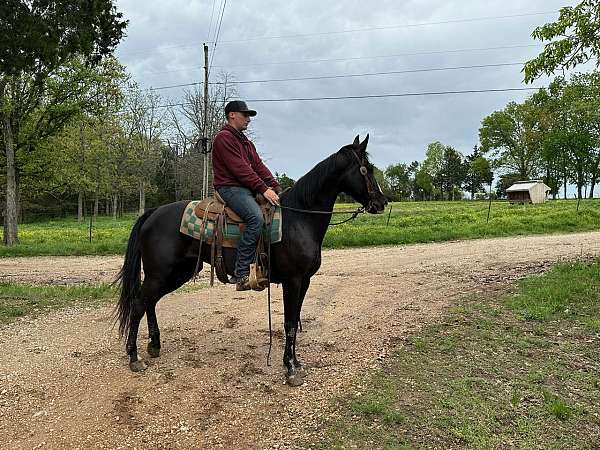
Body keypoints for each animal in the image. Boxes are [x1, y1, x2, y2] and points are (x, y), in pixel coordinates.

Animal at [116, 134, 390, 386]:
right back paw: (134, 357)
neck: (299, 219)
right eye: (367, 169)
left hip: (175, 273)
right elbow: (289, 322)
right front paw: (290, 369)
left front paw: (296, 362)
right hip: (160, 273)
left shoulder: (305, 281)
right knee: (140, 304)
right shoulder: (292, 281)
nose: (381, 202)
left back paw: (154, 346)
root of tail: (152, 213)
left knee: (150, 302)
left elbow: (295, 320)